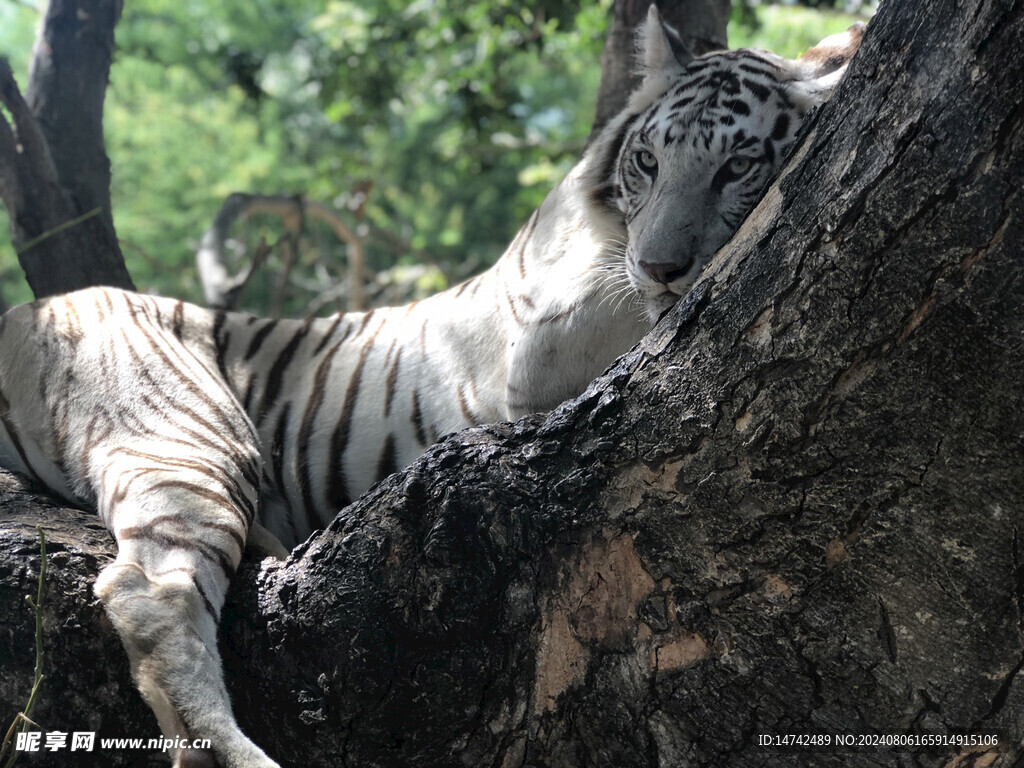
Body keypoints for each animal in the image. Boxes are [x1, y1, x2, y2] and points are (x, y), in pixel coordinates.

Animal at [0, 8, 861, 768]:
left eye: (737, 167)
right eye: (649, 162)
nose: (659, 267)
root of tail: (23, 310)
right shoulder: (548, 339)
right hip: (188, 432)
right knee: (147, 592)